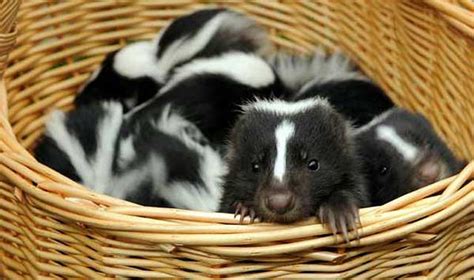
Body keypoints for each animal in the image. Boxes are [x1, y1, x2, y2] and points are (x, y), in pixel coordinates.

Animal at [218, 97, 366, 240]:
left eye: (313, 164)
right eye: (255, 166)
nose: (279, 202)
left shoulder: (349, 173)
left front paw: (339, 213)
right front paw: (246, 209)